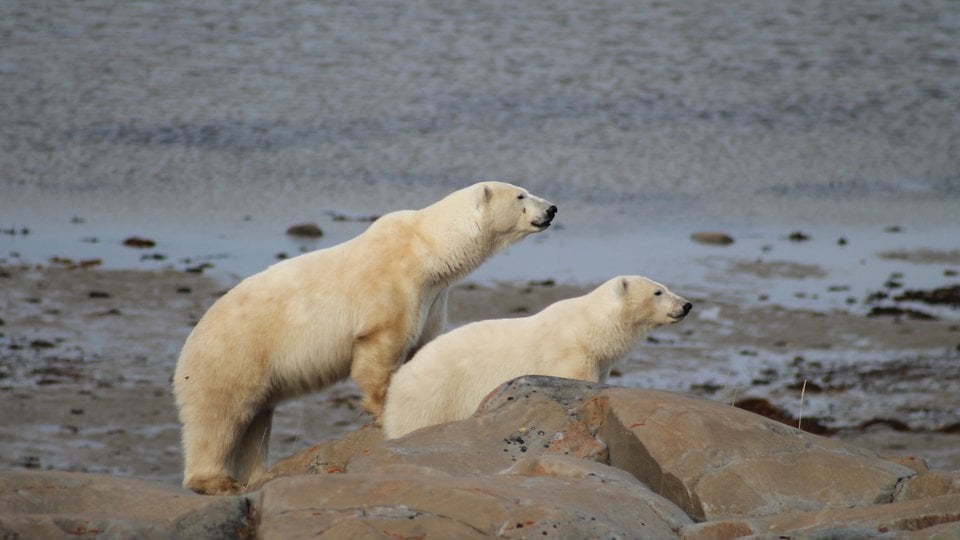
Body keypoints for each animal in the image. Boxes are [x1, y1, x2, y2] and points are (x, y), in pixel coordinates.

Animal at [173, 181, 557, 495]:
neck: (428, 249)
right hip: (234, 354)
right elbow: (382, 344)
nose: (552, 208)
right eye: (521, 195)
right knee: (220, 417)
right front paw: (382, 409)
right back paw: (216, 481)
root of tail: (187, 349)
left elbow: (422, 348)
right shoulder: (393, 283)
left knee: (256, 424)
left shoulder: (433, 297)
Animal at [382, 275, 692, 439]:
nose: (687, 305)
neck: (589, 327)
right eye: (658, 291)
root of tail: (399, 379)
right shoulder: (570, 353)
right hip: (433, 397)